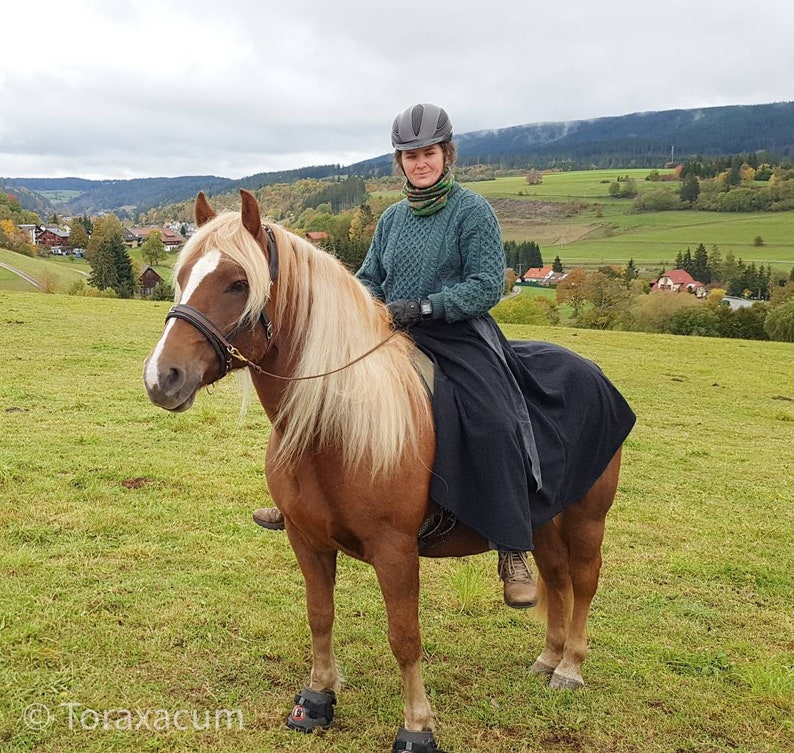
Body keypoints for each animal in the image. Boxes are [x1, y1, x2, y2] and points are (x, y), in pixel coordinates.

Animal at [144, 189, 629, 753]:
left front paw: (416, 726)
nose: (162, 377)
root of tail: (590, 370)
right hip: (547, 517)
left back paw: (570, 667)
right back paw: (547, 659)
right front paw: (318, 698)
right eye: (181, 276)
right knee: (555, 576)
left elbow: (404, 637)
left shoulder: (395, 550)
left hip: (587, 517)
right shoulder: (307, 540)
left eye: (238, 283)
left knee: (584, 580)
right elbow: (320, 615)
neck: (335, 423)